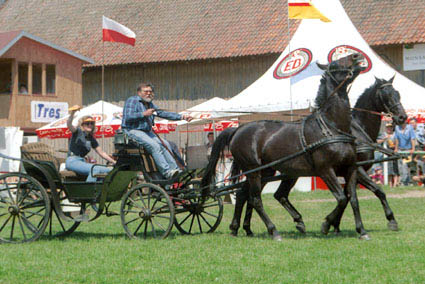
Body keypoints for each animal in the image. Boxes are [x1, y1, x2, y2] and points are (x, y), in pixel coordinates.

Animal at [202, 53, 368, 240]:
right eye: (334, 65)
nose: (356, 56)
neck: (331, 127)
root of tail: (238, 129)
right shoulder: (326, 170)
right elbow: (341, 198)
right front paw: (326, 224)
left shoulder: (350, 168)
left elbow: (352, 199)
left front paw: (362, 231)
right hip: (254, 171)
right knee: (255, 199)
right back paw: (273, 231)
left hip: (265, 171)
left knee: (243, 194)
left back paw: (237, 228)